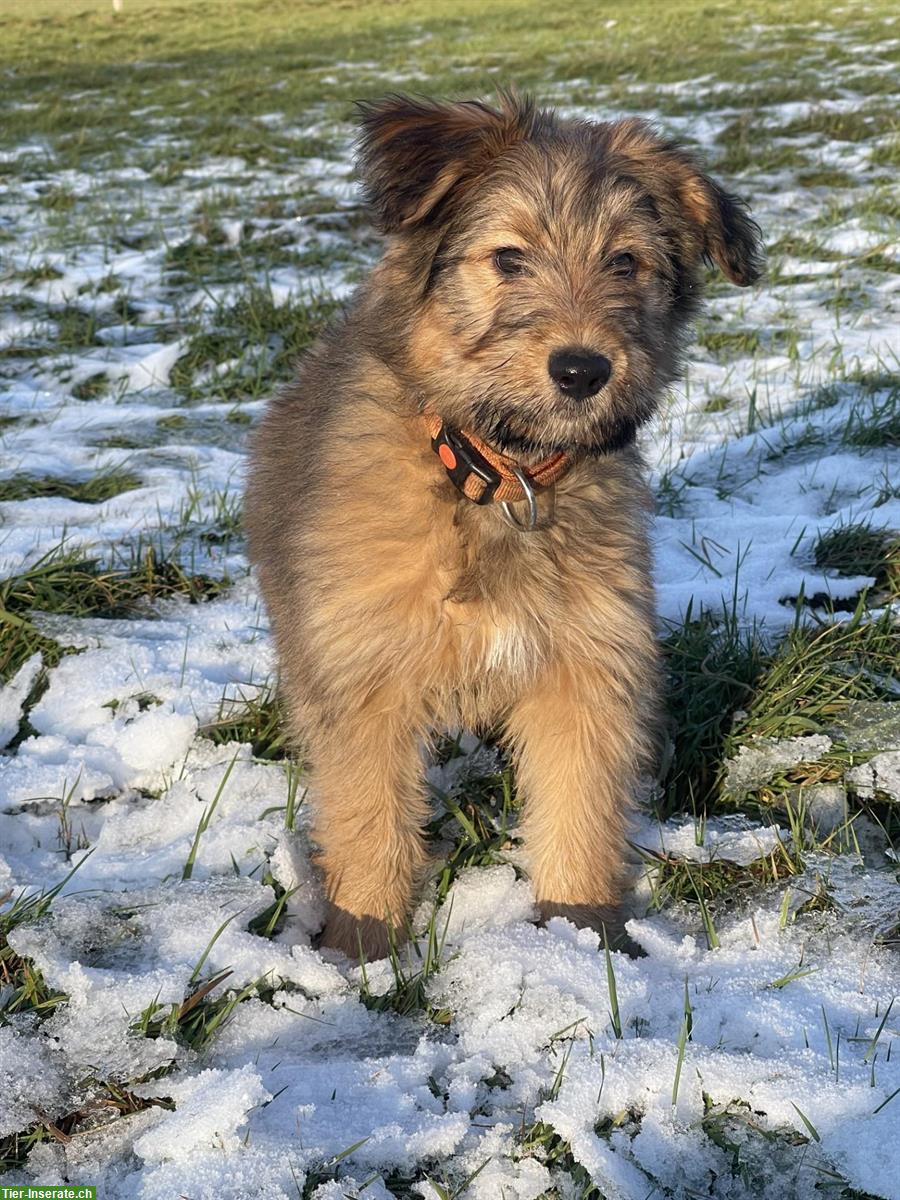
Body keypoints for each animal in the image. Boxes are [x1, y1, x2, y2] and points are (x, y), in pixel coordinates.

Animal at [244, 91, 763, 955]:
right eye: (510, 257)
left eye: (626, 262)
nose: (583, 370)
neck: (495, 476)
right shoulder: (366, 674)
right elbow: (369, 820)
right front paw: (360, 949)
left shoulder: (587, 665)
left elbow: (581, 811)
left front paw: (584, 939)